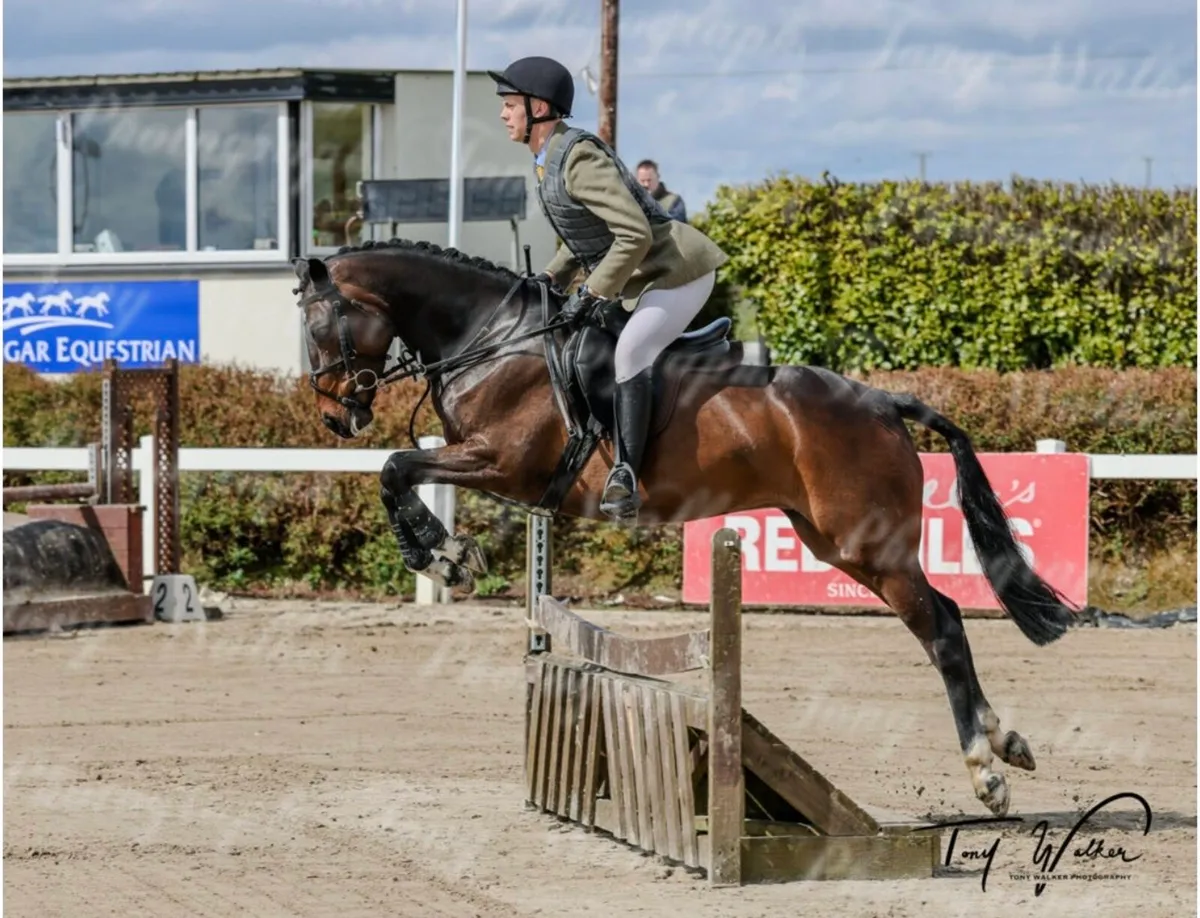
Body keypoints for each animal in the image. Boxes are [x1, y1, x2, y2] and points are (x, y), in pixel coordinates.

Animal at [290, 236, 1079, 819]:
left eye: (320, 327)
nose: (334, 416)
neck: (494, 340)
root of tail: (883, 401)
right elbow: (397, 470)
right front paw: (445, 552)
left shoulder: (502, 463)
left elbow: (395, 467)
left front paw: (445, 556)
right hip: (837, 543)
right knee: (943, 616)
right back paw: (1005, 743)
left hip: (870, 545)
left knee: (941, 625)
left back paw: (987, 772)